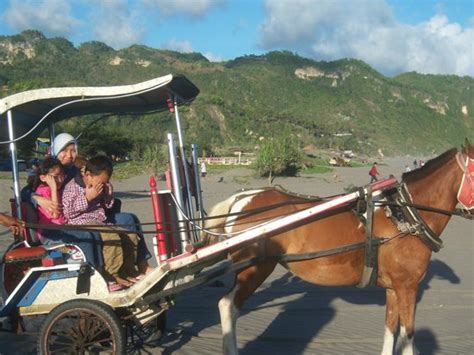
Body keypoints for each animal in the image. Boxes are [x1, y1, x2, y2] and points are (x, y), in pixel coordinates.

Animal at [205, 140, 474, 354]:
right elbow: (408, 338)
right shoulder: (408, 287)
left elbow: (391, 331)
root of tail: (241, 198)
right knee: (228, 306)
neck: (404, 214)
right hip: (256, 269)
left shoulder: (394, 288)